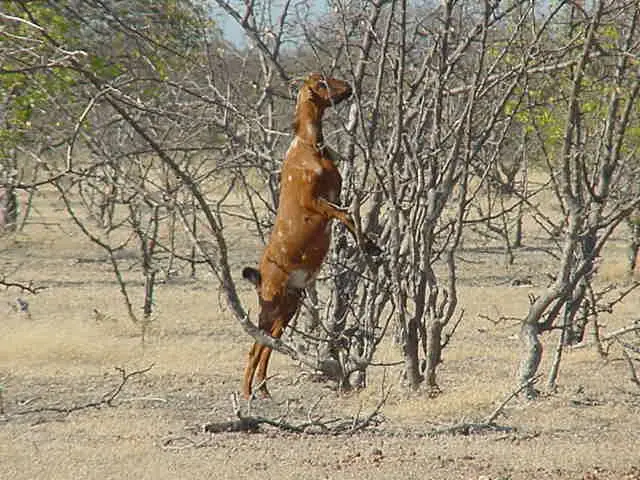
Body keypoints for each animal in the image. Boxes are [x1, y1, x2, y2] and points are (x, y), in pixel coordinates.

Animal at [240, 72, 380, 402]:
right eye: (322, 82)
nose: (349, 88)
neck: (308, 147)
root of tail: (260, 277)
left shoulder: (335, 196)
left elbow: (349, 217)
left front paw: (373, 246)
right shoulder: (315, 202)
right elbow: (345, 216)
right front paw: (368, 245)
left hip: (290, 305)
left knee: (268, 346)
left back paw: (264, 390)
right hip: (272, 306)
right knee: (255, 347)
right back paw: (248, 392)